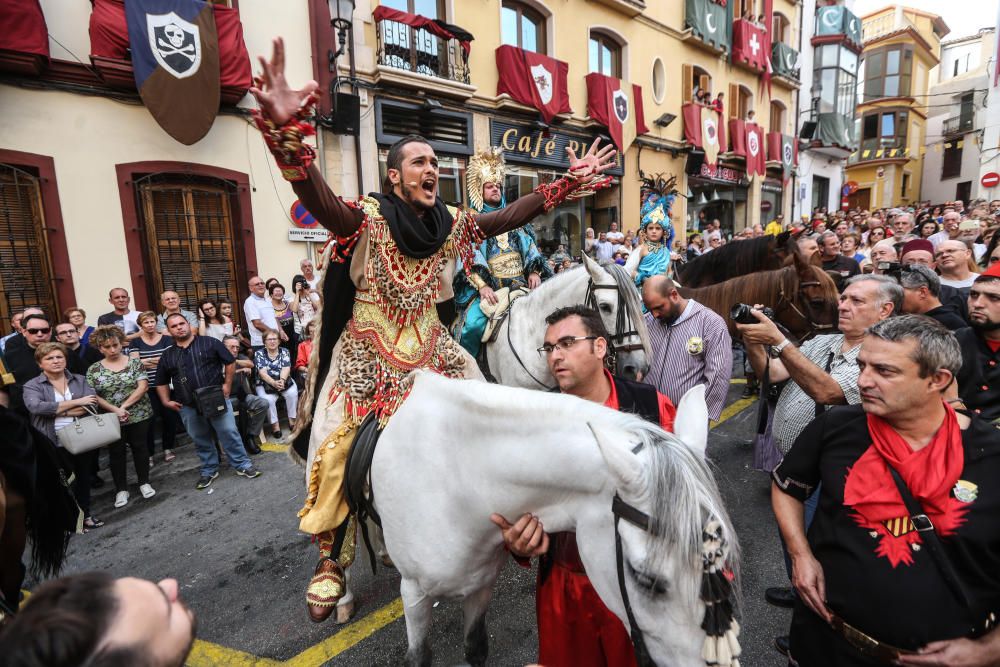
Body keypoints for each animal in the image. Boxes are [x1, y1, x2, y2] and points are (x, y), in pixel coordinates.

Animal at [372, 374, 740, 664]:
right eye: (645, 579)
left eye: (720, 562)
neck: (457, 479)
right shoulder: (414, 593)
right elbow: (418, 656)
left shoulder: (480, 585)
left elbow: (475, 648)